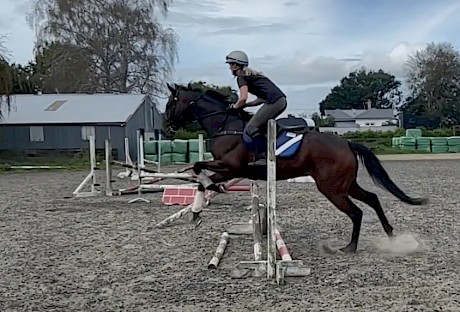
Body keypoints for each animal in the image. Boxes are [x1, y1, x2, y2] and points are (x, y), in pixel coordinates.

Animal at [164, 83, 428, 254]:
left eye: (171, 103)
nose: (167, 127)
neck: (225, 125)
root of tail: (346, 143)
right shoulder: (230, 169)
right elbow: (200, 178)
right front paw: (197, 213)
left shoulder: (232, 167)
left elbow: (199, 169)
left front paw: (212, 191)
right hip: (345, 184)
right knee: (372, 199)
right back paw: (391, 235)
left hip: (332, 188)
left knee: (356, 212)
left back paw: (349, 247)